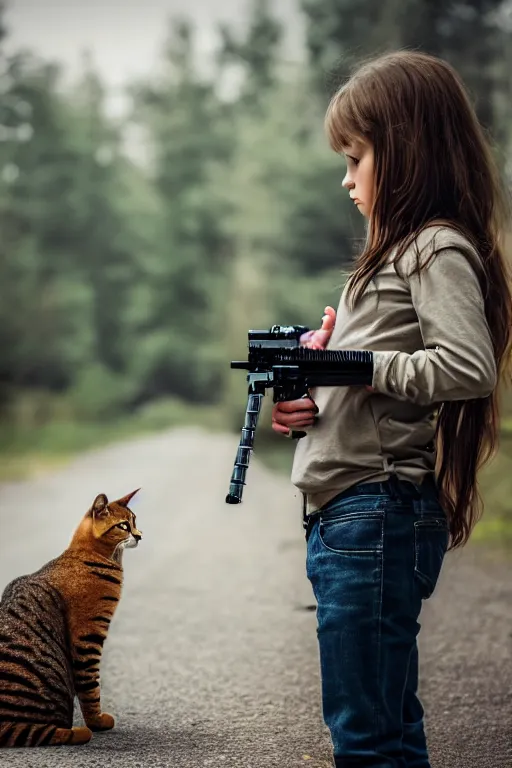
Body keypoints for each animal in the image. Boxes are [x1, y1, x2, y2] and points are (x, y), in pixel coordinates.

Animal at [0, 488, 142, 748]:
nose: (140, 535)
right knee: (43, 732)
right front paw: (96, 721)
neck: (86, 553)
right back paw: (78, 731)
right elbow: (90, 684)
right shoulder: (88, 636)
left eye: (135, 521)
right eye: (124, 525)